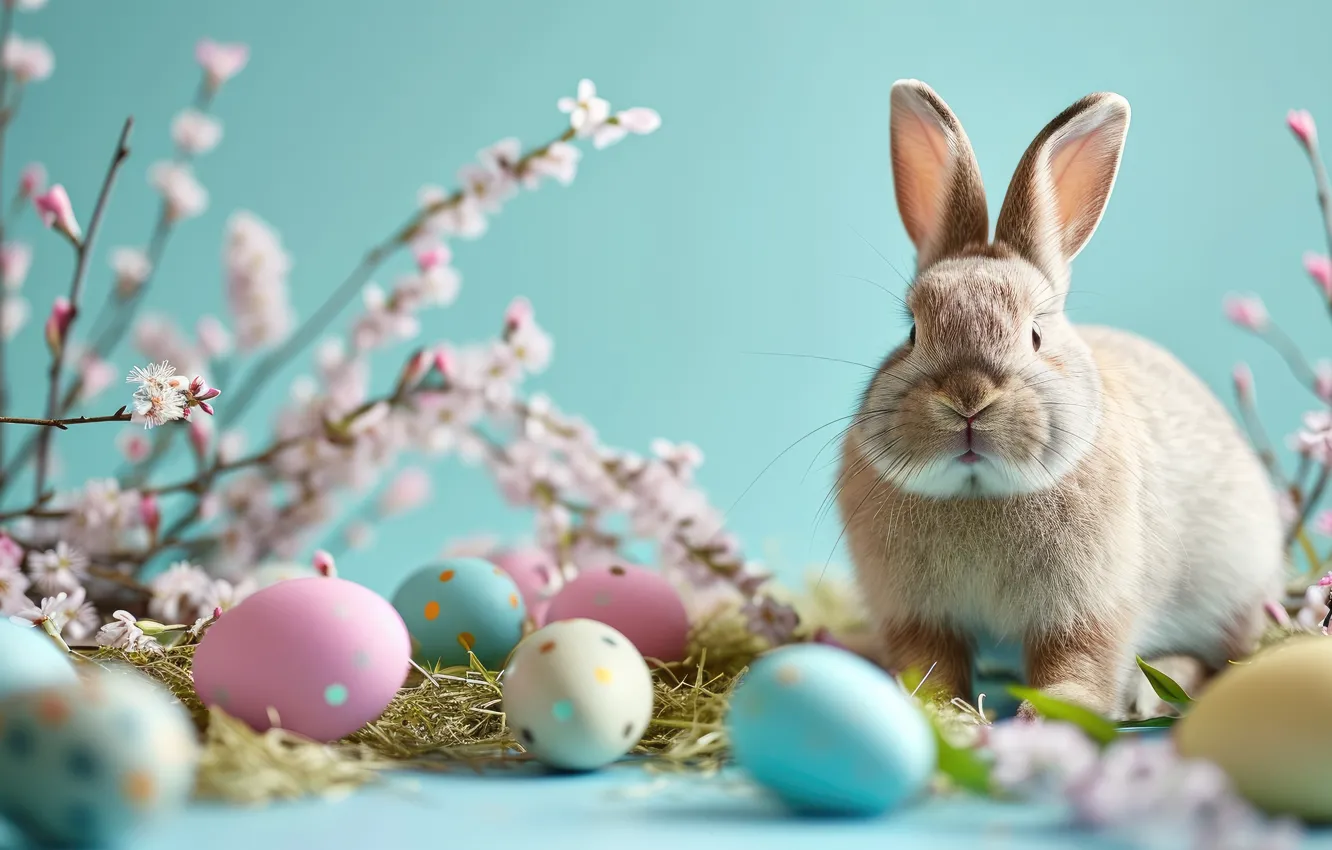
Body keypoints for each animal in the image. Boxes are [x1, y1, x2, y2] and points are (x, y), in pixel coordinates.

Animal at [836, 79, 1285, 720]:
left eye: (1036, 334)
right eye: (913, 331)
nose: (969, 399)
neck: (978, 492)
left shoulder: (1089, 609)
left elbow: (1077, 665)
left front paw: (1051, 714)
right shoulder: (918, 616)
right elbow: (931, 667)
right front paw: (938, 713)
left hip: (1237, 593)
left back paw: (1156, 687)